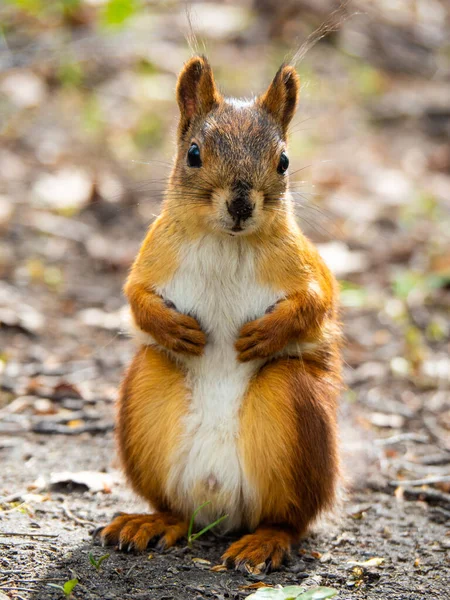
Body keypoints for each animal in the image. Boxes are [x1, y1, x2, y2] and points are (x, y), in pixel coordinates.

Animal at [96, 55, 342, 572]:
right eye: (193, 153)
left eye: (283, 161)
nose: (241, 203)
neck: (225, 241)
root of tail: (219, 506)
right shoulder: (150, 259)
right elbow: (134, 297)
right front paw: (175, 328)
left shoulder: (310, 267)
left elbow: (317, 303)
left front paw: (265, 334)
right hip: (147, 393)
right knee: (177, 511)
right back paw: (150, 523)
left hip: (290, 402)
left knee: (289, 522)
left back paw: (263, 542)